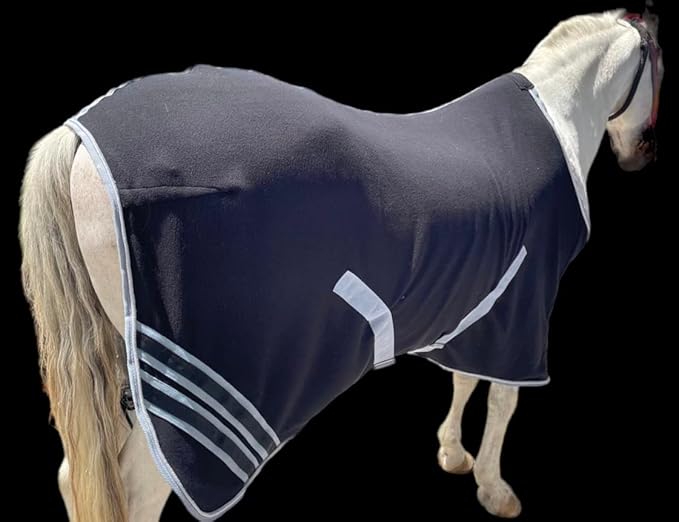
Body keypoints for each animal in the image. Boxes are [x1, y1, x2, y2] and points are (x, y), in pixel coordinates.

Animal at [19, 8, 662, 521]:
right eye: (659, 71)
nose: (639, 156)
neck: (554, 115)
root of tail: (79, 138)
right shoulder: (523, 308)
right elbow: (503, 398)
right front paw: (494, 488)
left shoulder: (478, 305)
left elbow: (463, 378)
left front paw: (453, 454)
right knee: (137, 492)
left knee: (79, 477)